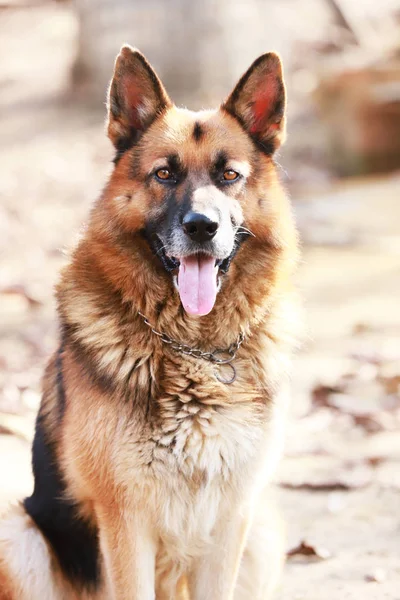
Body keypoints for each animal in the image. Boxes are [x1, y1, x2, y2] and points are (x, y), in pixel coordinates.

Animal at [0, 44, 298, 596]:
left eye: (229, 175)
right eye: (164, 174)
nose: (202, 227)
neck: (194, 351)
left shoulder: (231, 522)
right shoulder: (125, 523)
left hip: (265, 528)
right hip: (16, 529)